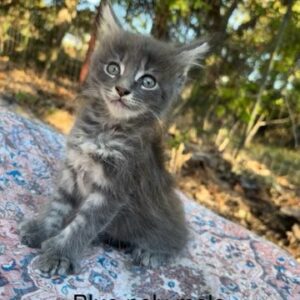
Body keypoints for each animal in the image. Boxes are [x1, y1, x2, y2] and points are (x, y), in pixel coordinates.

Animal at [17, 0, 207, 276]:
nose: (122, 89)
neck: (104, 129)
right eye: (113, 68)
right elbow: (57, 205)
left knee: (177, 244)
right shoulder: (72, 169)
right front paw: (41, 230)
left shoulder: (114, 188)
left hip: (168, 221)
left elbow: (83, 225)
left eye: (148, 81)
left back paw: (152, 253)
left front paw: (60, 254)